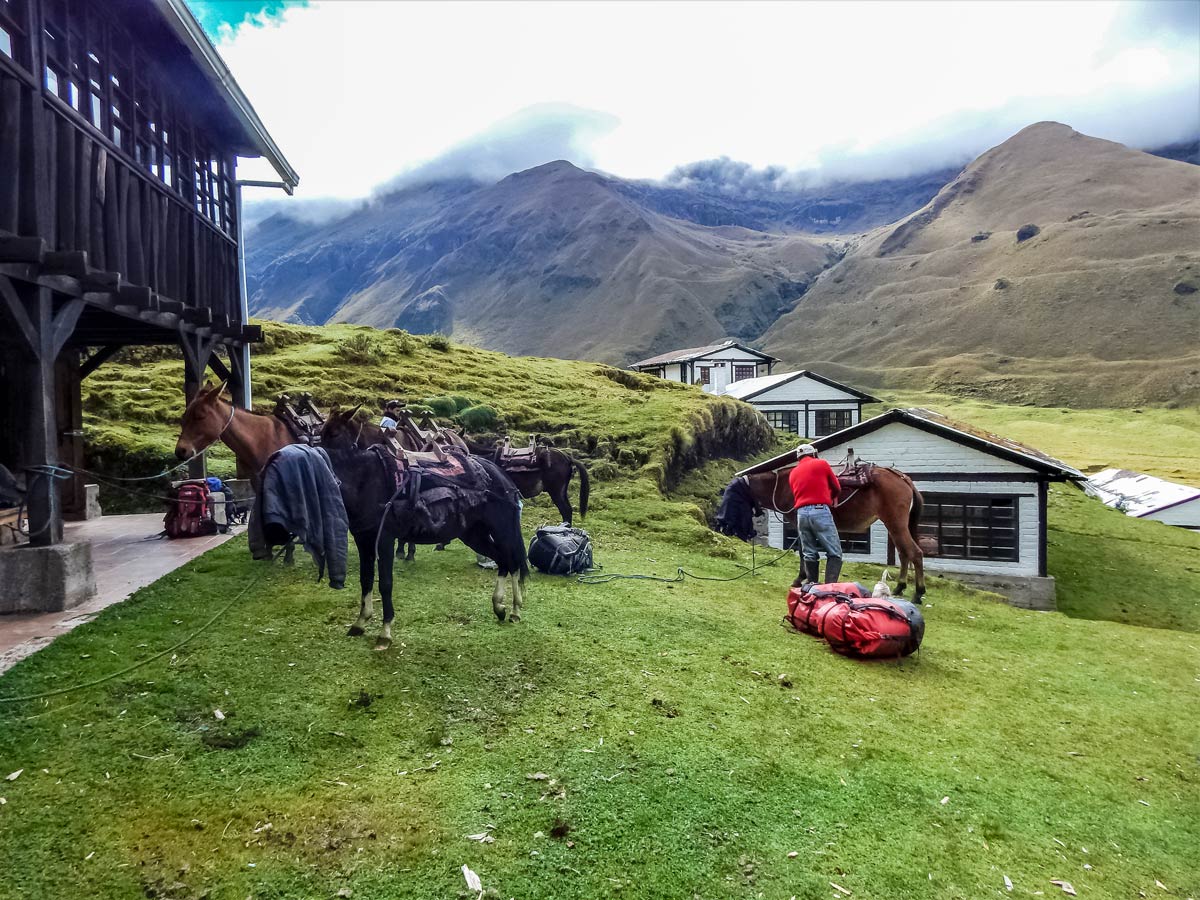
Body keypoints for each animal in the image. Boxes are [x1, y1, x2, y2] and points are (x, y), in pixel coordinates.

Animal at [319, 434, 530, 652]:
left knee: (513, 562)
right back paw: (499, 606)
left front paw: (385, 634)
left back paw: (515, 610)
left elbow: (385, 584)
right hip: (474, 535)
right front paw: (360, 622)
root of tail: (502, 476)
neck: (365, 481)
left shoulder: (385, 540)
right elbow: (366, 580)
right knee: (503, 561)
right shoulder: (364, 540)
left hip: (502, 529)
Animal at [744, 465, 931, 607]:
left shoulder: (800, 523)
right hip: (894, 527)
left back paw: (918, 593)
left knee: (915, 553)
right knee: (904, 554)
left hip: (896, 525)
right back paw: (900, 587)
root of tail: (903, 479)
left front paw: (800, 579)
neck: (782, 486)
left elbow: (803, 552)